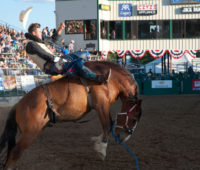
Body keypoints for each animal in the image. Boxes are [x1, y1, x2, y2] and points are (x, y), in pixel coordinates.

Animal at [0, 60, 141, 169]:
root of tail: (18, 105)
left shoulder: (102, 107)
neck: (112, 80)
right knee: (15, 153)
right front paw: (101, 149)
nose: (123, 137)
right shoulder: (101, 104)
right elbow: (107, 125)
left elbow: (108, 125)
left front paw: (97, 141)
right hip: (30, 134)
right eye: (134, 119)